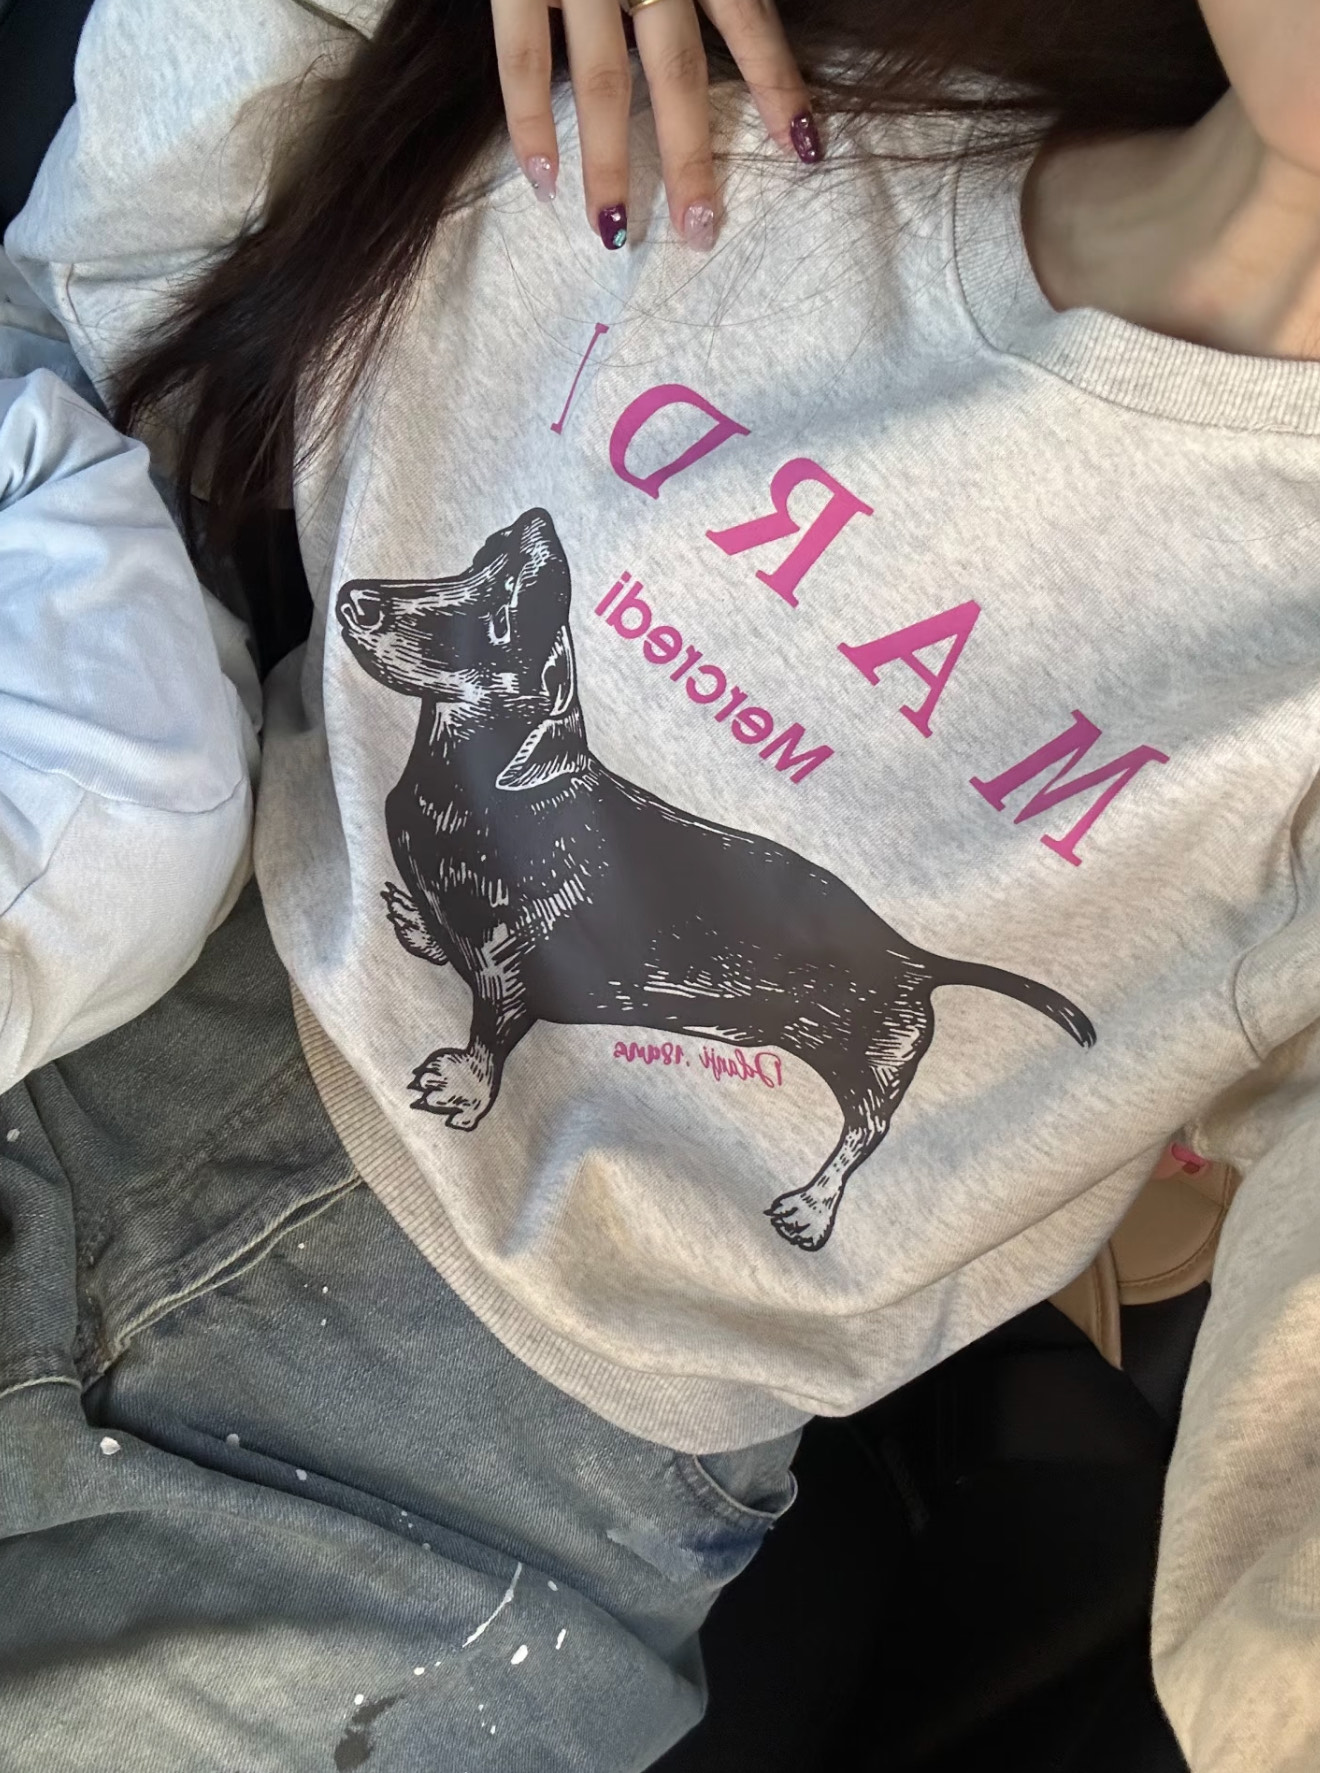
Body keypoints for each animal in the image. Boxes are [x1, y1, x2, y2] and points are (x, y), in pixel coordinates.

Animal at [336, 509, 1095, 1252]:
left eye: (501, 616)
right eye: (481, 555)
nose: (354, 599)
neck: (469, 793)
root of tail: (911, 955)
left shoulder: (516, 968)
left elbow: (491, 1032)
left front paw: (461, 1087)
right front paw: (419, 926)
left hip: (868, 1061)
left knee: (866, 1132)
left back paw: (811, 1209)